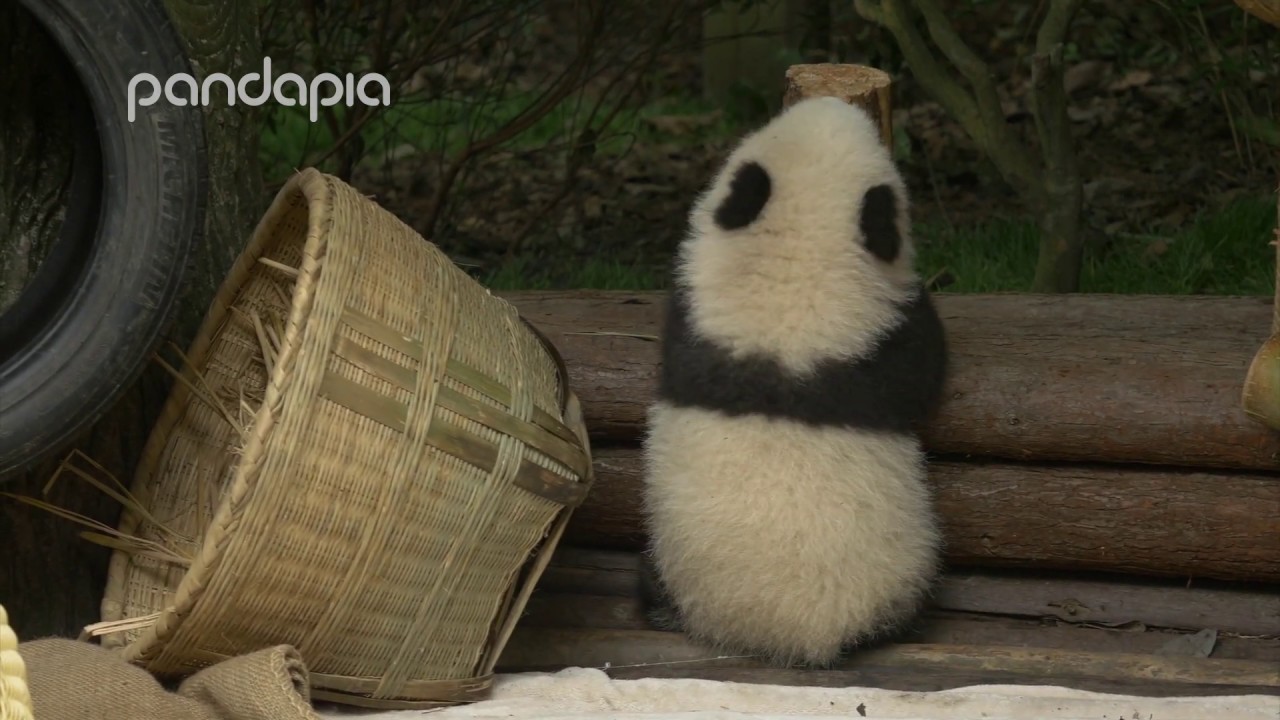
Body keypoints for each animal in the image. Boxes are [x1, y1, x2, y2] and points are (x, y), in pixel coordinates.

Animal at [637, 95, 949, 668]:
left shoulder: (690, 326)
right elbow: (923, 365)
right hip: (902, 572)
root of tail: (785, 638)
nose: (834, 101)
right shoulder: (877, 354)